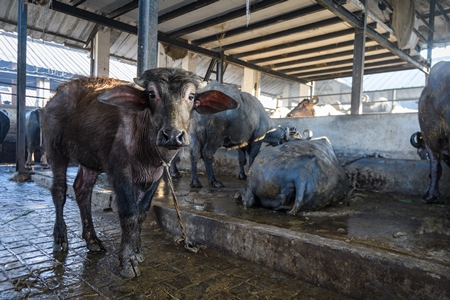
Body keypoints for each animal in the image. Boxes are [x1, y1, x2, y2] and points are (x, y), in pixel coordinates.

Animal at [42, 68, 239, 278]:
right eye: (152, 94)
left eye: (191, 96)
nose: (172, 136)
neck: (147, 148)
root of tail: (57, 95)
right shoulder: (120, 171)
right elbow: (129, 213)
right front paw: (127, 261)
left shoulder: (156, 175)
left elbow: (141, 212)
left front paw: (136, 251)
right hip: (56, 150)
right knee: (59, 191)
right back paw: (60, 239)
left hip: (90, 160)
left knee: (82, 190)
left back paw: (92, 240)